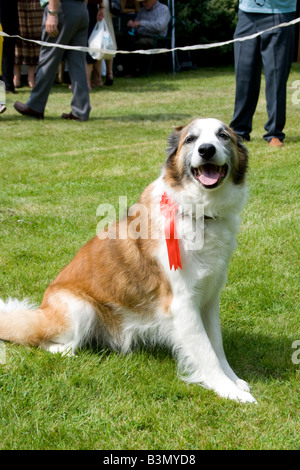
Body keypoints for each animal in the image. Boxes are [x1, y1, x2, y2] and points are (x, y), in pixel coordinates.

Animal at [0, 118, 258, 404]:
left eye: (223, 136)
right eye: (191, 139)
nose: (206, 150)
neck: (201, 214)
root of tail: (42, 310)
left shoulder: (210, 298)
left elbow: (217, 345)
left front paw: (234, 380)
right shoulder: (182, 302)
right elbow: (205, 351)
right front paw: (228, 391)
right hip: (80, 308)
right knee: (48, 342)